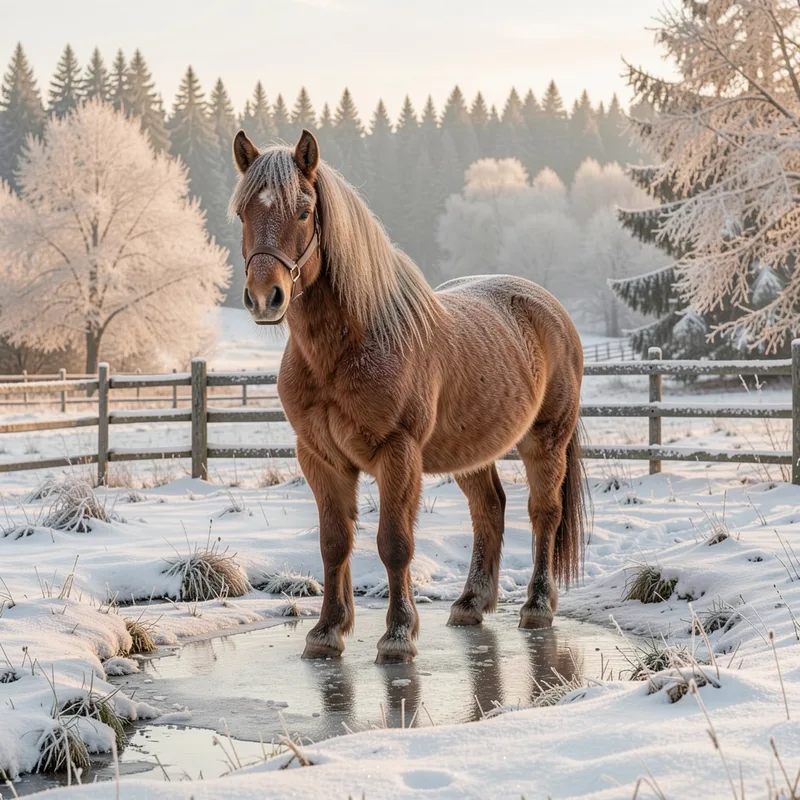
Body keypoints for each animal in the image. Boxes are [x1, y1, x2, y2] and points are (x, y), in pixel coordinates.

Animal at [230, 128, 586, 664]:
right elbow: (334, 543)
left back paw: (537, 606)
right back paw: (470, 604)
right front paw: (326, 632)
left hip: (546, 442)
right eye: (242, 212)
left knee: (544, 512)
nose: (263, 297)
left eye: (304, 210)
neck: (353, 342)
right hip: (472, 451)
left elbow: (394, 543)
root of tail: (551, 308)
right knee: (490, 509)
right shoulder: (320, 458)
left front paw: (398, 635)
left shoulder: (397, 454)